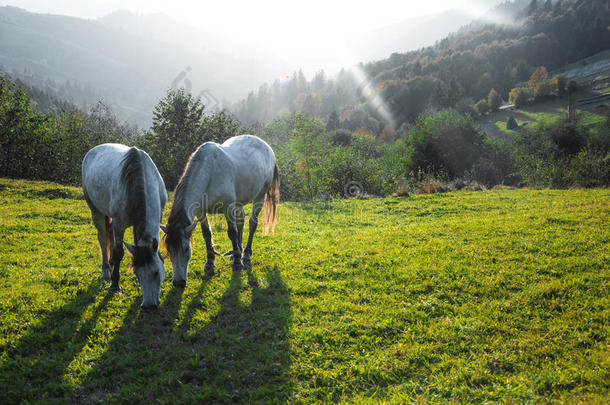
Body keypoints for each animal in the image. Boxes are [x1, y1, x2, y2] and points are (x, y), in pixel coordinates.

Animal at [81, 144, 167, 308]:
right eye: (137, 274)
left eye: (156, 272)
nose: (148, 306)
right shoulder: (119, 224)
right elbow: (118, 252)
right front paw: (115, 285)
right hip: (96, 211)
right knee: (103, 239)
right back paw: (106, 272)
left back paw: (111, 265)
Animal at [160, 134, 276, 286]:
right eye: (168, 249)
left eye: (186, 249)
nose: (178, 283)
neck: (210, 172)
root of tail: (266, 146)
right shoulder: (201, 212)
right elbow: (207, 234)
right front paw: (210, 263)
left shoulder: (228, 208)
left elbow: (232, 233)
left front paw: (238, 264)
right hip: (239, 202)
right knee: (241, 223)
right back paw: (237, 252)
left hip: (260, 197)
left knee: (252, 224)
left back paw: (245, 255)